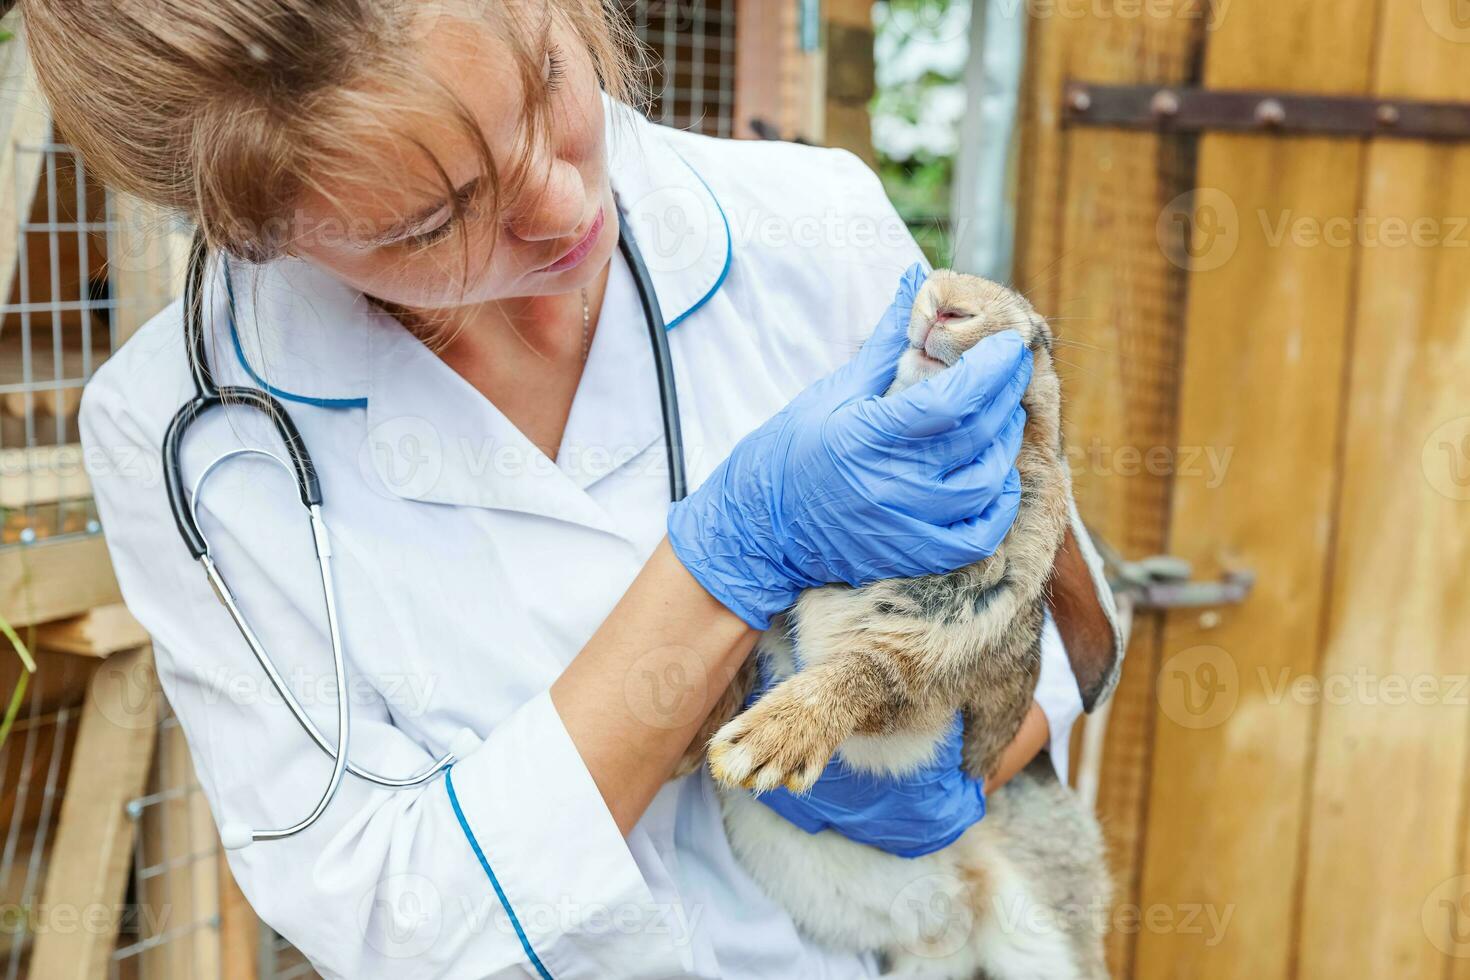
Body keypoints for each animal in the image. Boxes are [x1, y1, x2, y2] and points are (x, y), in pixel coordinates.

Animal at [696, 270, 1105, 980]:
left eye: (1038, 345)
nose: (944, 300)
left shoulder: (929, 670)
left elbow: (859, 675)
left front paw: (758, 748)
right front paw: (701, 733)